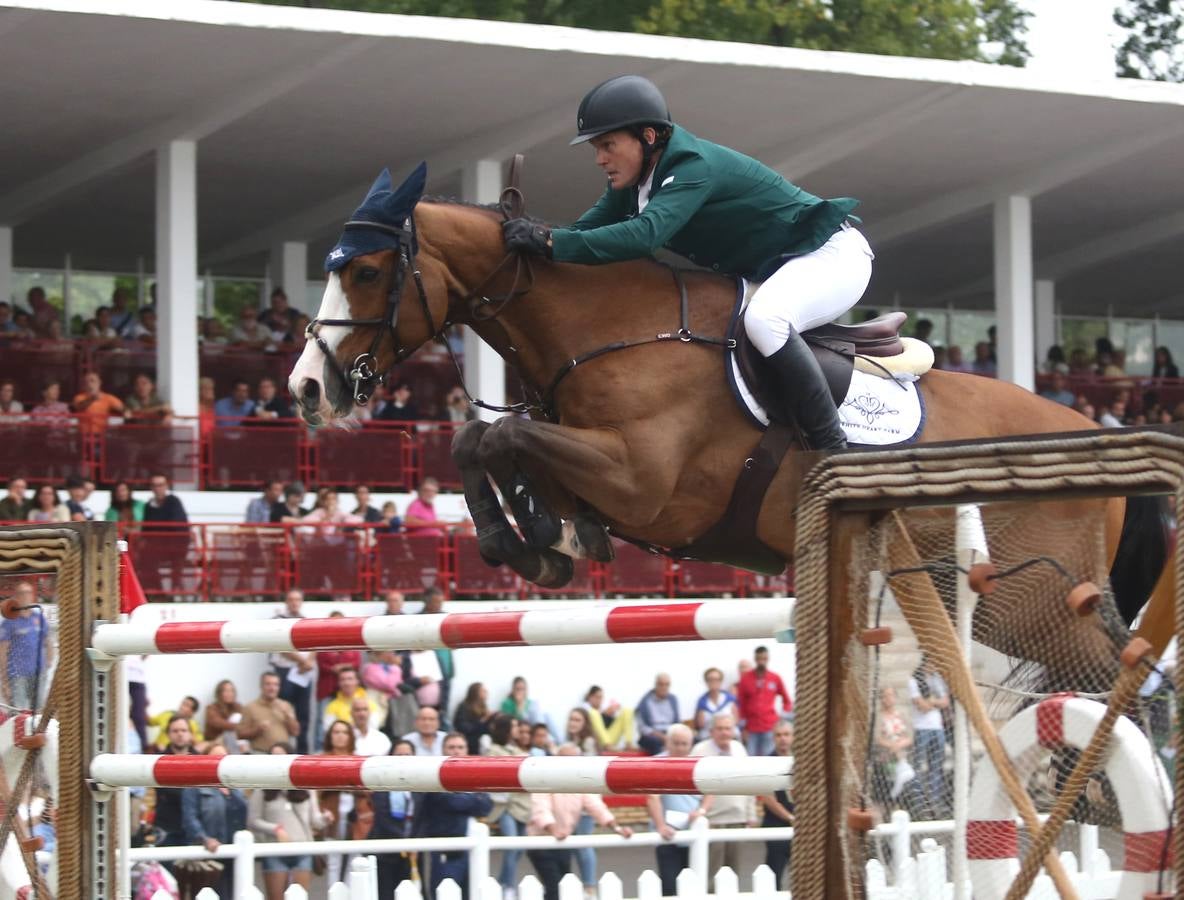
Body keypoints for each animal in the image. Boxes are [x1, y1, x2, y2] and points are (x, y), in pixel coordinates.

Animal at [291, 163, 1169, 682]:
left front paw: (531, 537)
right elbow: (483, 439)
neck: (612, 330)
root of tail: (1100, 437)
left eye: (366, 272)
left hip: (1031, 608)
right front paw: (540, 538)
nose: (306, 387)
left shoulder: (645, 486)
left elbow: (505, 435)